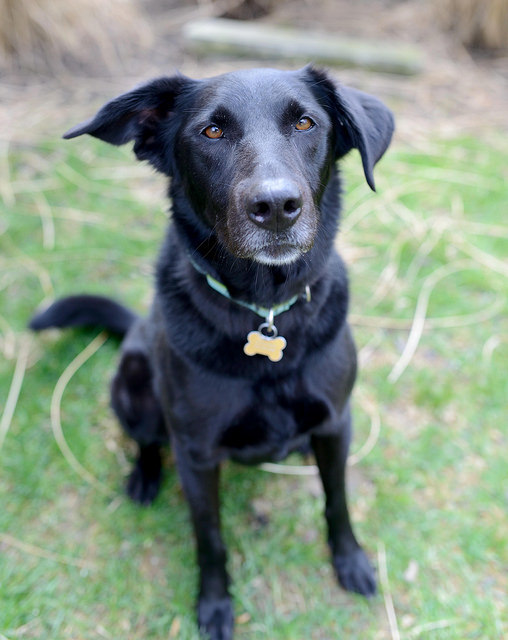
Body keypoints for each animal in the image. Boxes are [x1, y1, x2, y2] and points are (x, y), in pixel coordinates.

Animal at [30, 67, 392, 636]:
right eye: (212, 132)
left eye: (306, 123)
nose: (275, 207)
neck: (265, 310)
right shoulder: (198, 455)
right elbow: (211, 539)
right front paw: (216, 605)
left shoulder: (337, 422)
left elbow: (337, 502)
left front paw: (350, 560)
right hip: (133, 386)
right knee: (147, 441)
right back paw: (144, 478)